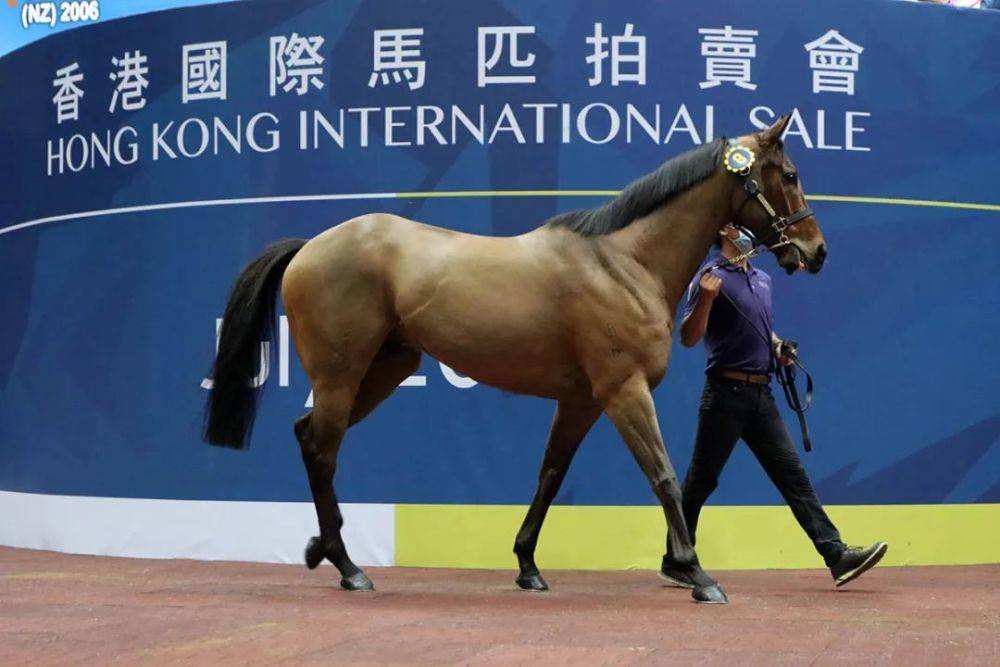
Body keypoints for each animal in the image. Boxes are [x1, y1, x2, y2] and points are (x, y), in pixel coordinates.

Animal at [205, 116, 828, 604]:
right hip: (343, 374)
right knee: (323, 449)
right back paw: (348, 567)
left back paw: (323, 550)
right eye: (790, 176)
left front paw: (528, 566)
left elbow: (550, 476)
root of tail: (309, 247)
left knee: (309, 435)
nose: (815, 251)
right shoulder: (623, 389)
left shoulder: (581, 400)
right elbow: (665, 477)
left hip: (385, 370)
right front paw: (697, 574)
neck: (624, 263)